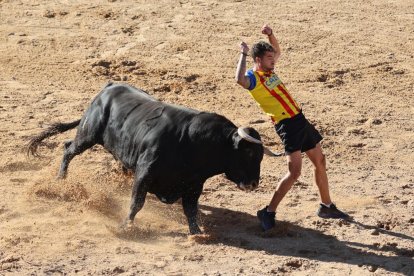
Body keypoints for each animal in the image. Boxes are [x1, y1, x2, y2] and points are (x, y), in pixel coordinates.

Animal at [26, 83, 278, 234]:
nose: (254, 183)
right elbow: (136, 203)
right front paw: (125, 227)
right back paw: (60, 181)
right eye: (248, 153)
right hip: (88, 134)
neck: (193, 142)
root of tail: (109, 87)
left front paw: (196, 234)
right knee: (68, 149)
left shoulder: (193, 185)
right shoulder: (144, 174)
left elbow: (190, 210)